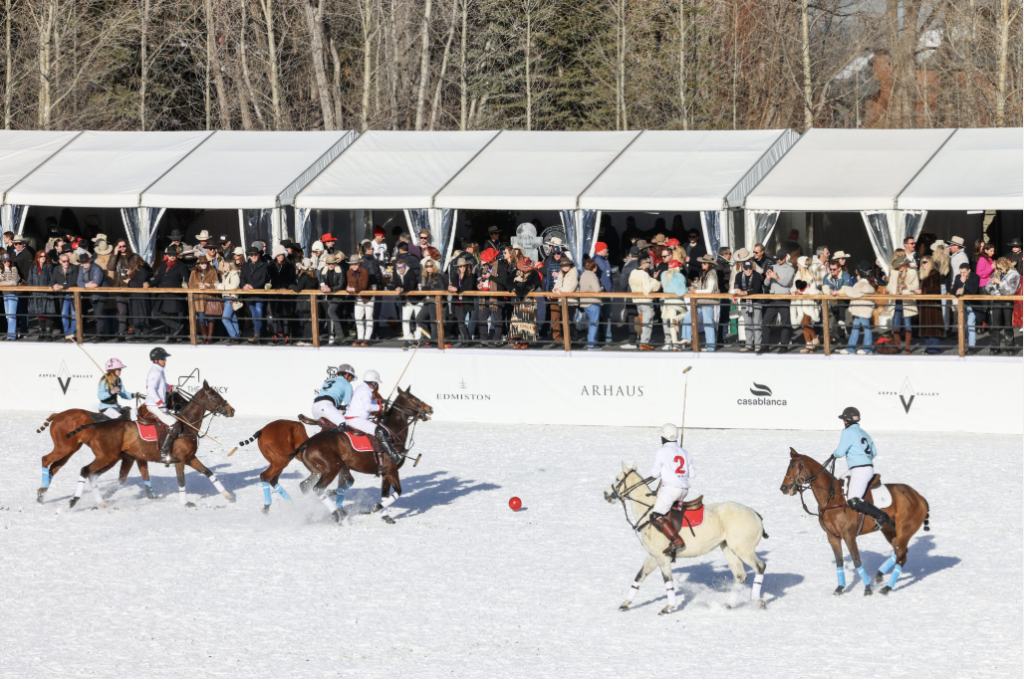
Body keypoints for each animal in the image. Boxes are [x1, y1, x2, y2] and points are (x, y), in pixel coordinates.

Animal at [64, 383, 237, 510]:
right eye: (215, 396)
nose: (232, 410)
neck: (187, 425)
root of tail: (96, 426)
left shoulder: (190, 458)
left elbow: (208, 472)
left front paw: (228, 495)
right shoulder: (180, 459)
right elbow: (181, 481)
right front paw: (185, 502)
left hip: (114, 458)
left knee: (94, 475)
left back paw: (101, 501)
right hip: (107, 456)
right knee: (85, 470)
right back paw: (73, 501)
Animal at [292, 387, 432, 524]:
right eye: (414, 399)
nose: (430, 408)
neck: (394, 433)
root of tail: (308, 442)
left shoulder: (385, 473)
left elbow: (385, 494)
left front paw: (386, 517)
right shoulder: (392, 469)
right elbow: (398, 491)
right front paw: (377, 507)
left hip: (317, 470)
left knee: (304, 486)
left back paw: (307, 512)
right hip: (332, 468)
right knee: (317, 488)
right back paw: (336, 515)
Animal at [598, 462, 770, 614]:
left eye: (617, 479)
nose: (605, 494)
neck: (648, 512)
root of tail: (756, 515)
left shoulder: (662, 557)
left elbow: (668, 581)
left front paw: (668, 607)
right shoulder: (653, 556)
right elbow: (639, 577)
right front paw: (625, 604)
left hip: (743, 549)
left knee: (760, 566)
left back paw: (758, 601)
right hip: (728, 548)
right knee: (740, 575)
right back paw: (728, 605)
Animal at [778, 448, 933, 598]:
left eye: (793, 465)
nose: (783, 488)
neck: (832, 499)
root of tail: (920, 497)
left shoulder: (849, 536)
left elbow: (857, 560)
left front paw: (867, 588)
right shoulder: (832, 536)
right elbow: (839, 561)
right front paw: (839, 588)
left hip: (905, 529)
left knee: (901, 556)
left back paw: (887, 588)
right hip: (889, 530)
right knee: (900, 551)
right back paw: (880, 575)